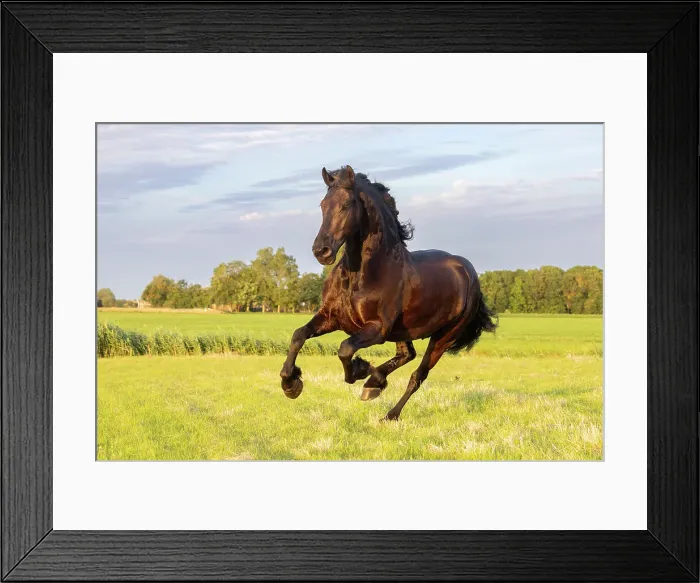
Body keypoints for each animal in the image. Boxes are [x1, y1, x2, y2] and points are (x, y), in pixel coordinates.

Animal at [280, 165, 498, 421]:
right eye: (323, 205)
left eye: (346, 205)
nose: (321, 251)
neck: (361, 275)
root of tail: (469, 272)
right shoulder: (331, 317)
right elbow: (299, 335)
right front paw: (290, 384)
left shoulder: (377, 329)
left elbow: (345, 349)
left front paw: (361, 369)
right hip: (404, 330)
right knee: (407, 354)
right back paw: (374, 384)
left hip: (445, 336)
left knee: (418, 375)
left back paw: (388, 410)